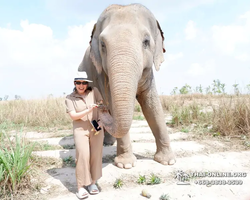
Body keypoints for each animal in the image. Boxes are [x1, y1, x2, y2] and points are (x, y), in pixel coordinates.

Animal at [78, 3, 176, 169]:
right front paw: (126, 165)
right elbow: (113, 103)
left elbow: (152, 106)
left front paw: (168, 161)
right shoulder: (102, 74)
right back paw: (107, 143)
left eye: (146, 41)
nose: (100, 106)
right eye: (103, 45)